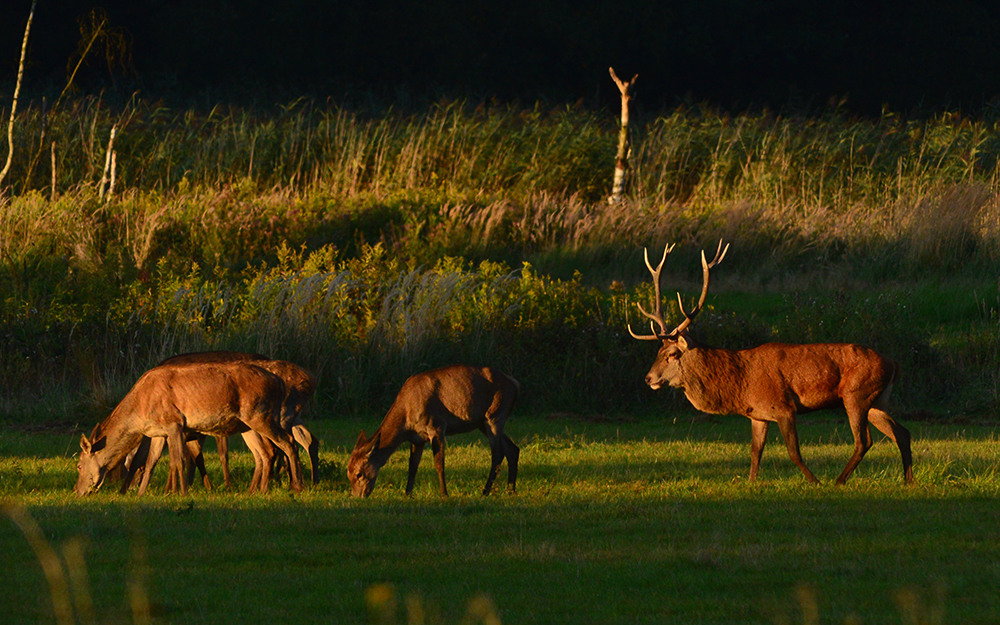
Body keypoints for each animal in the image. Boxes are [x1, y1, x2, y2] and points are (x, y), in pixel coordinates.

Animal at [74, 360, 302, 498]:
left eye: (79, 465)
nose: (78, 491)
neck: (140, 411)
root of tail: (279, 382)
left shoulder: (174, 422)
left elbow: (178, 460)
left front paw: (182, 493)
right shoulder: (158, 432)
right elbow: (150, 461)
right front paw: (140, 494)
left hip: (259, 415)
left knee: (287, 442)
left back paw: (296, 486)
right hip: (247, 424)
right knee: (264, 452)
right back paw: (256, 491)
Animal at [350, 366, 524, 498]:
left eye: (359, 474)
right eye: (348, 474)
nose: (358, 496)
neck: (406, 422)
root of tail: (516, 384)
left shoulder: (437, 425)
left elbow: (439, 463)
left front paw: (444, 494)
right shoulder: (417, 438)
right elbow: (412, 466)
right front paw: (408, 494)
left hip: (494, 415)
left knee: (498, 454)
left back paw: (485, 491)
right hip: (482, 422)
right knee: (512, 449)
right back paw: (511, 490)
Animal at [632, 241, 916, 486]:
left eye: (671, 354)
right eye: (658, 350)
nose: (647, 378)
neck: (740, 385)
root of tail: (895, 363)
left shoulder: (784, 407)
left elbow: (794, 452)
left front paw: (814, 482)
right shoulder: (758, 415)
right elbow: (755, 452)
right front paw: (750, 482)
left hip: (855, 393)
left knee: (864, 441)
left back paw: (838, 481)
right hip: (877, 399)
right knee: (901, 432)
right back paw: (908, 480)